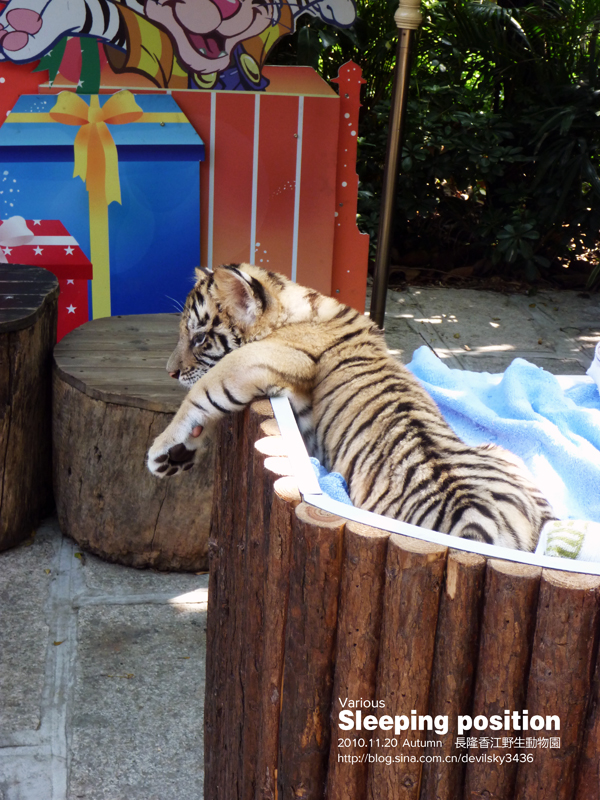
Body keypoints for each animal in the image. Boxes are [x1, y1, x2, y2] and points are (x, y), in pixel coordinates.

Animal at [147, 263, 556, 551]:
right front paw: (181, 453)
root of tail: (478, 523)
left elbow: (203, 391)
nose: (169, 371)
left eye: (199, 338)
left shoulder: (262, 360)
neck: (294, 302)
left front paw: (160, 451)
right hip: (505, 455)